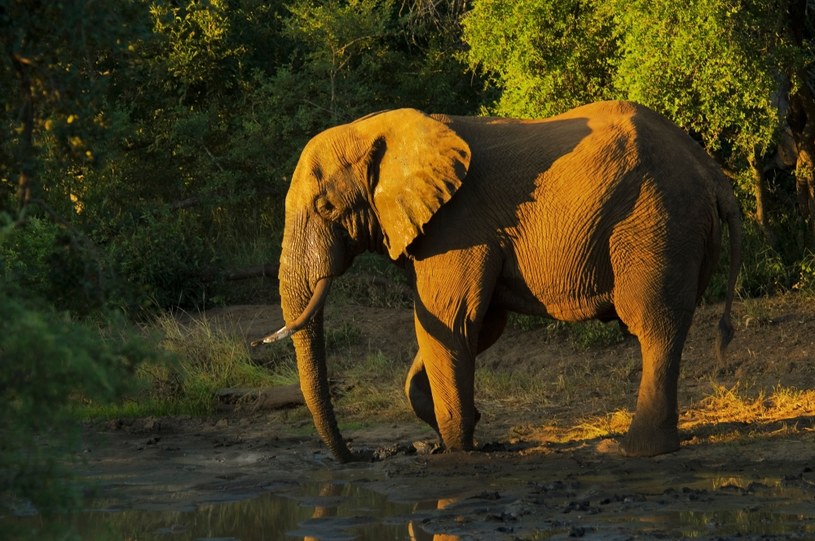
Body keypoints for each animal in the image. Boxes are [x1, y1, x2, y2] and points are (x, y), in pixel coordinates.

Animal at [256, 100, 744, 460]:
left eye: (326, 208)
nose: (359, 456)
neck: (386, 130)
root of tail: (713, 173)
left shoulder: (457, 225)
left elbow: (451, 322)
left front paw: (459, 449)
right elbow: (478, 326)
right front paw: (463, 427)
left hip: (657, 224)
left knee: (653, 325)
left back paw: (633, 451)